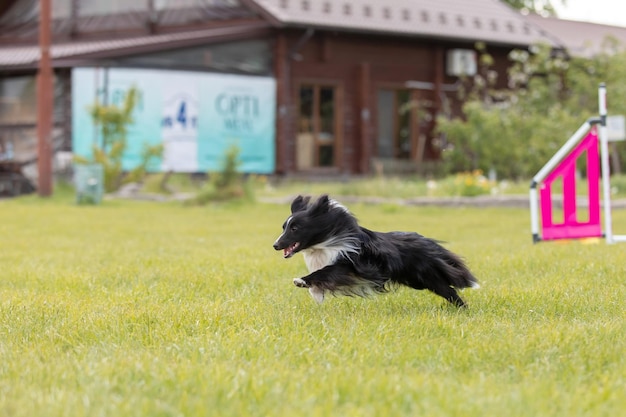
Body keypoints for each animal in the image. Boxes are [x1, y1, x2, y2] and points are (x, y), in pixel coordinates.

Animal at [272, 194, 478, 306]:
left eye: (295, 228)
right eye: (284, 227)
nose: (275, 245)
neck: (327, 239)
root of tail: (428, 242)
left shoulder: (348, 264)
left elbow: (325, 272)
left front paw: (302, 281)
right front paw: (314, 291)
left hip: (427, 276)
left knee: (449, 290)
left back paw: (463, 308)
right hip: (418, 280)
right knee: (447, 290)